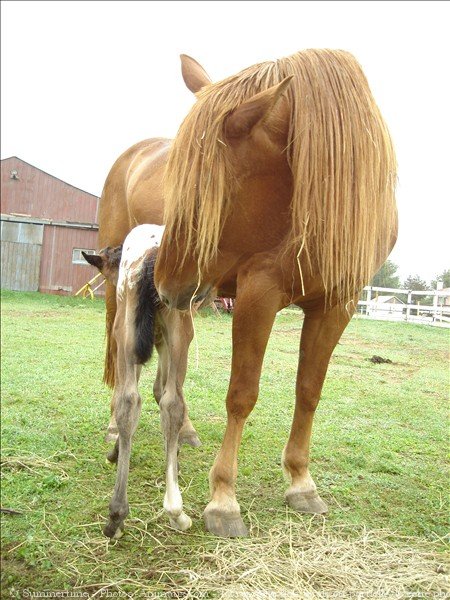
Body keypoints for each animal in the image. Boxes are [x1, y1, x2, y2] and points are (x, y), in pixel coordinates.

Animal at [85, 225, 200, 540]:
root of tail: (152, 254)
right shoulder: (162, 343)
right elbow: (160, 392)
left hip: (128, 332)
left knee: (129, 401)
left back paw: (117, 515)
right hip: (179, 331)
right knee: (168, 402)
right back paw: (175, 512)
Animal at [156, 51, 398, 536]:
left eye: (209, 190)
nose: (165, 284)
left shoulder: (336, 305)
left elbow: (309, 391)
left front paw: (301, 481)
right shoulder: (258, 293)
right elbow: (242, 393)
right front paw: (224, 498)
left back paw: (183, 429)